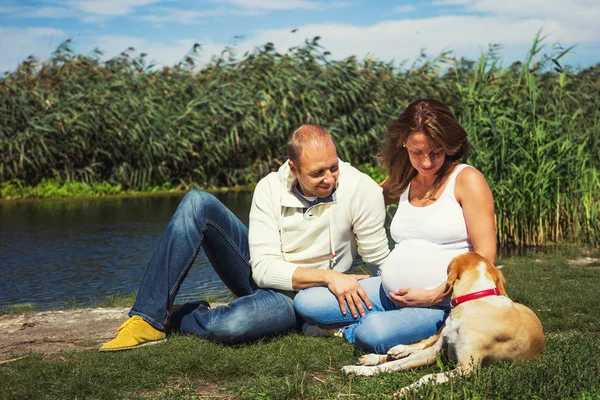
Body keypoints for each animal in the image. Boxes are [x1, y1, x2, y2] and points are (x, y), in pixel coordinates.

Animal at [342, 252, 544, 396]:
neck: (475, 298)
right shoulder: (436, 351)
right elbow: (394, 365)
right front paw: (360, 370)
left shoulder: (465, 369)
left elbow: (427, 376)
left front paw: (406, 390)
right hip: (439, 333)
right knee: (420, 343)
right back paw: (389, 352)